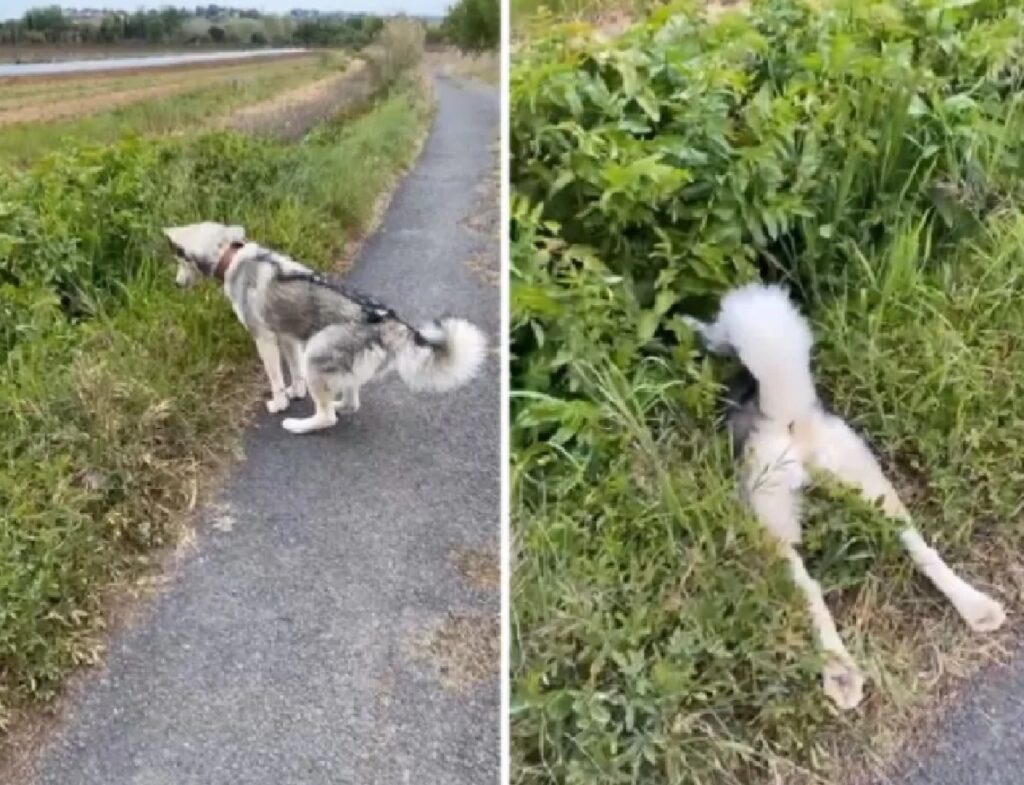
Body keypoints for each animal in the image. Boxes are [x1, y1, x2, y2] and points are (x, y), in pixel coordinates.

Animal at [162, 219, 487, 435]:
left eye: (179, 258)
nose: (175, 285)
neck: (231, 256)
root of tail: (388, 321)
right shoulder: (288, 338)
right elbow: (293, 373)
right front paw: (296, 392)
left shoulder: (264, 339)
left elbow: (275, 378)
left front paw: (280, 403)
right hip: (329, 358)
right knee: (350, 400)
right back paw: (339, 401)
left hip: (316, 352)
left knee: (327, 417)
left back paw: (298, 424)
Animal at [684, 284, 1003, 712]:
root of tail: (787, 414)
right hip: (869, 483)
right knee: (918, 546)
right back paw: (977, 607)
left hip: (773, 520)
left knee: (810, 591)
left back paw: (840, 673)